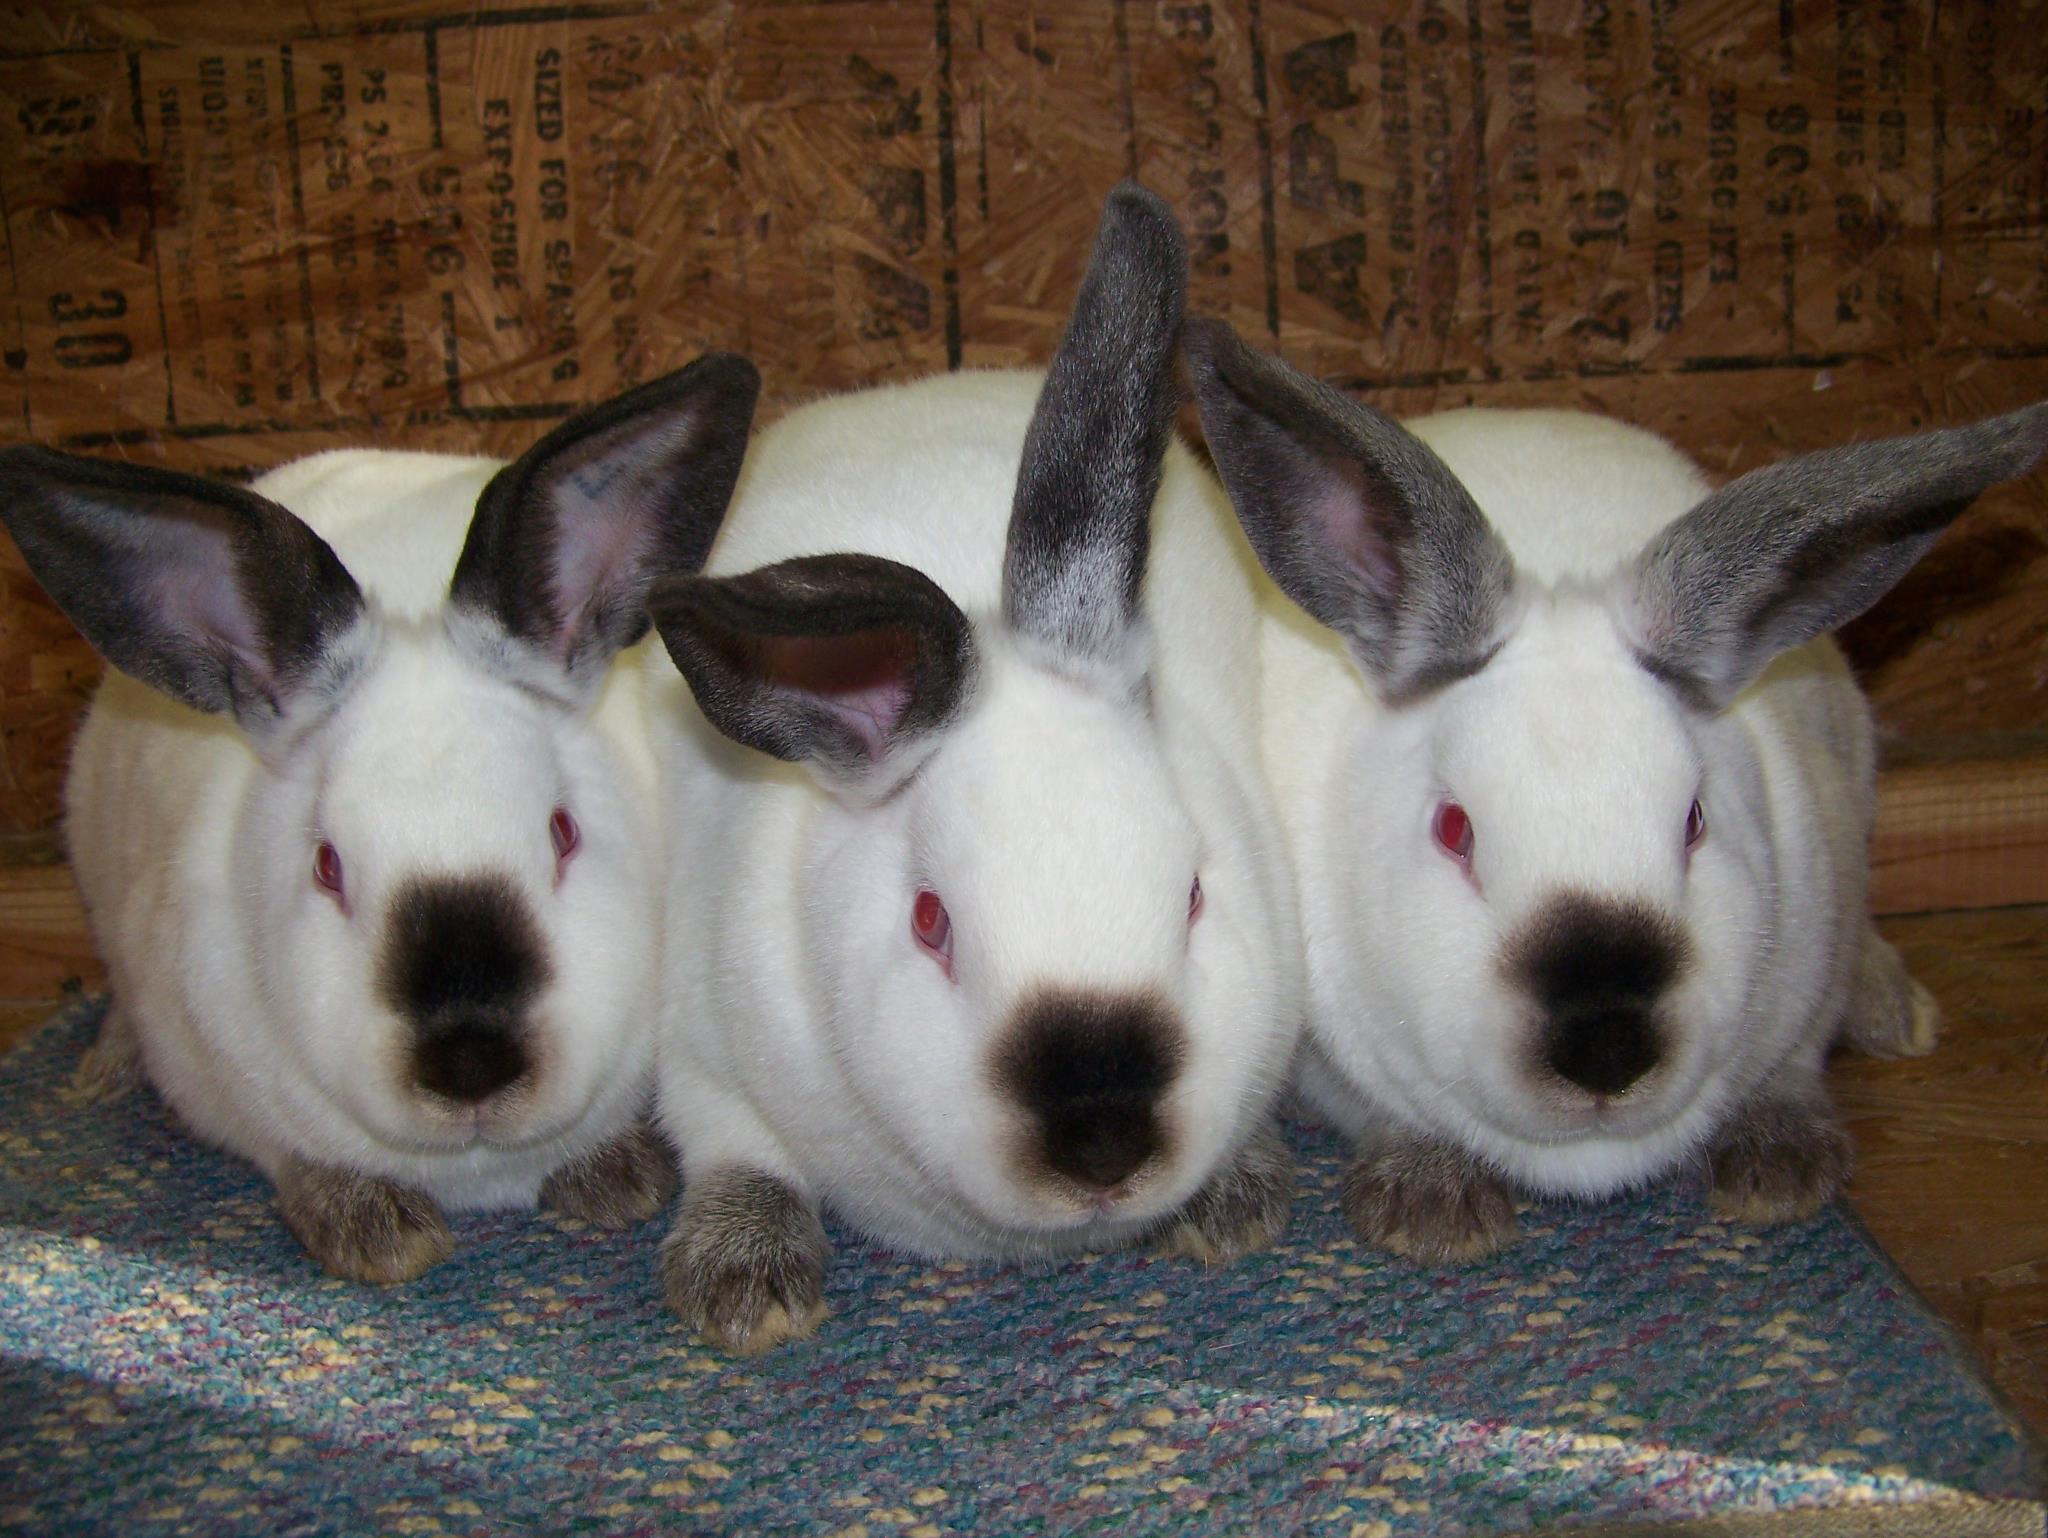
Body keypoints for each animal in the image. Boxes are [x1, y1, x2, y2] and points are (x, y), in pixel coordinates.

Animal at [0, 354, 760, 1283]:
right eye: (327, 866)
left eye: (563, 833)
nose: (470, 1065)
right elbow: (295, 1159)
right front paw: (377, 1234)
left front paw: (615, 1180)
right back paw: (102, 1068)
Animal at [638, 186, 1304, 1354]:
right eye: (929, 921)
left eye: (1192, 896)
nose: (1101, 1151)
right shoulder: (702, 1056)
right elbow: (735, 1150)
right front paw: (748, 1291)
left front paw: (1233, 1205)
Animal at [1185, 315, 2048, 1264]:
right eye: (1454, 830)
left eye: (1694, 821)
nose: (1606, 1049)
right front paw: (1432, 1210)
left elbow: (1791, 1070)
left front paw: (1780, 1174)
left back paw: (1899, 1016)